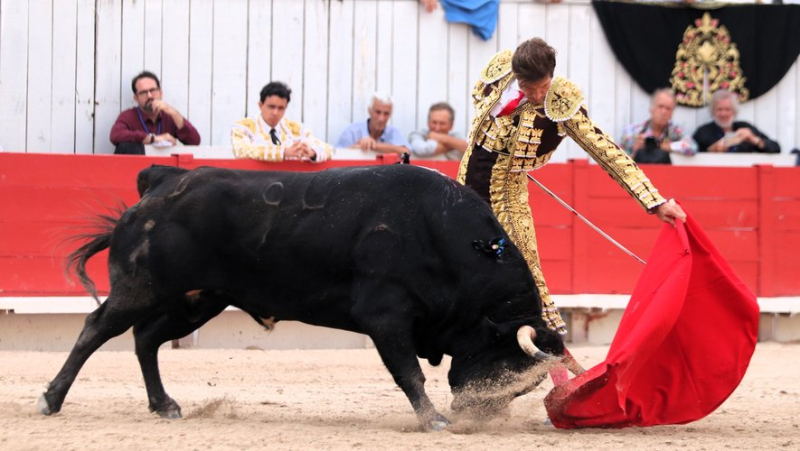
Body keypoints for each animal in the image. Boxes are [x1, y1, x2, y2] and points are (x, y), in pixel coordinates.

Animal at [39, 165, 564, 430]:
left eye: (523, 386)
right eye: (502, 367)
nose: (477, 419)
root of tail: (163, 179)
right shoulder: (386, 315)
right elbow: (408, 372)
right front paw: (433, 420)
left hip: (198, 299)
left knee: (146, 339)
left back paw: (165, 405)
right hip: (142, 287)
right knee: (96, 329)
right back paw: (51, 399)